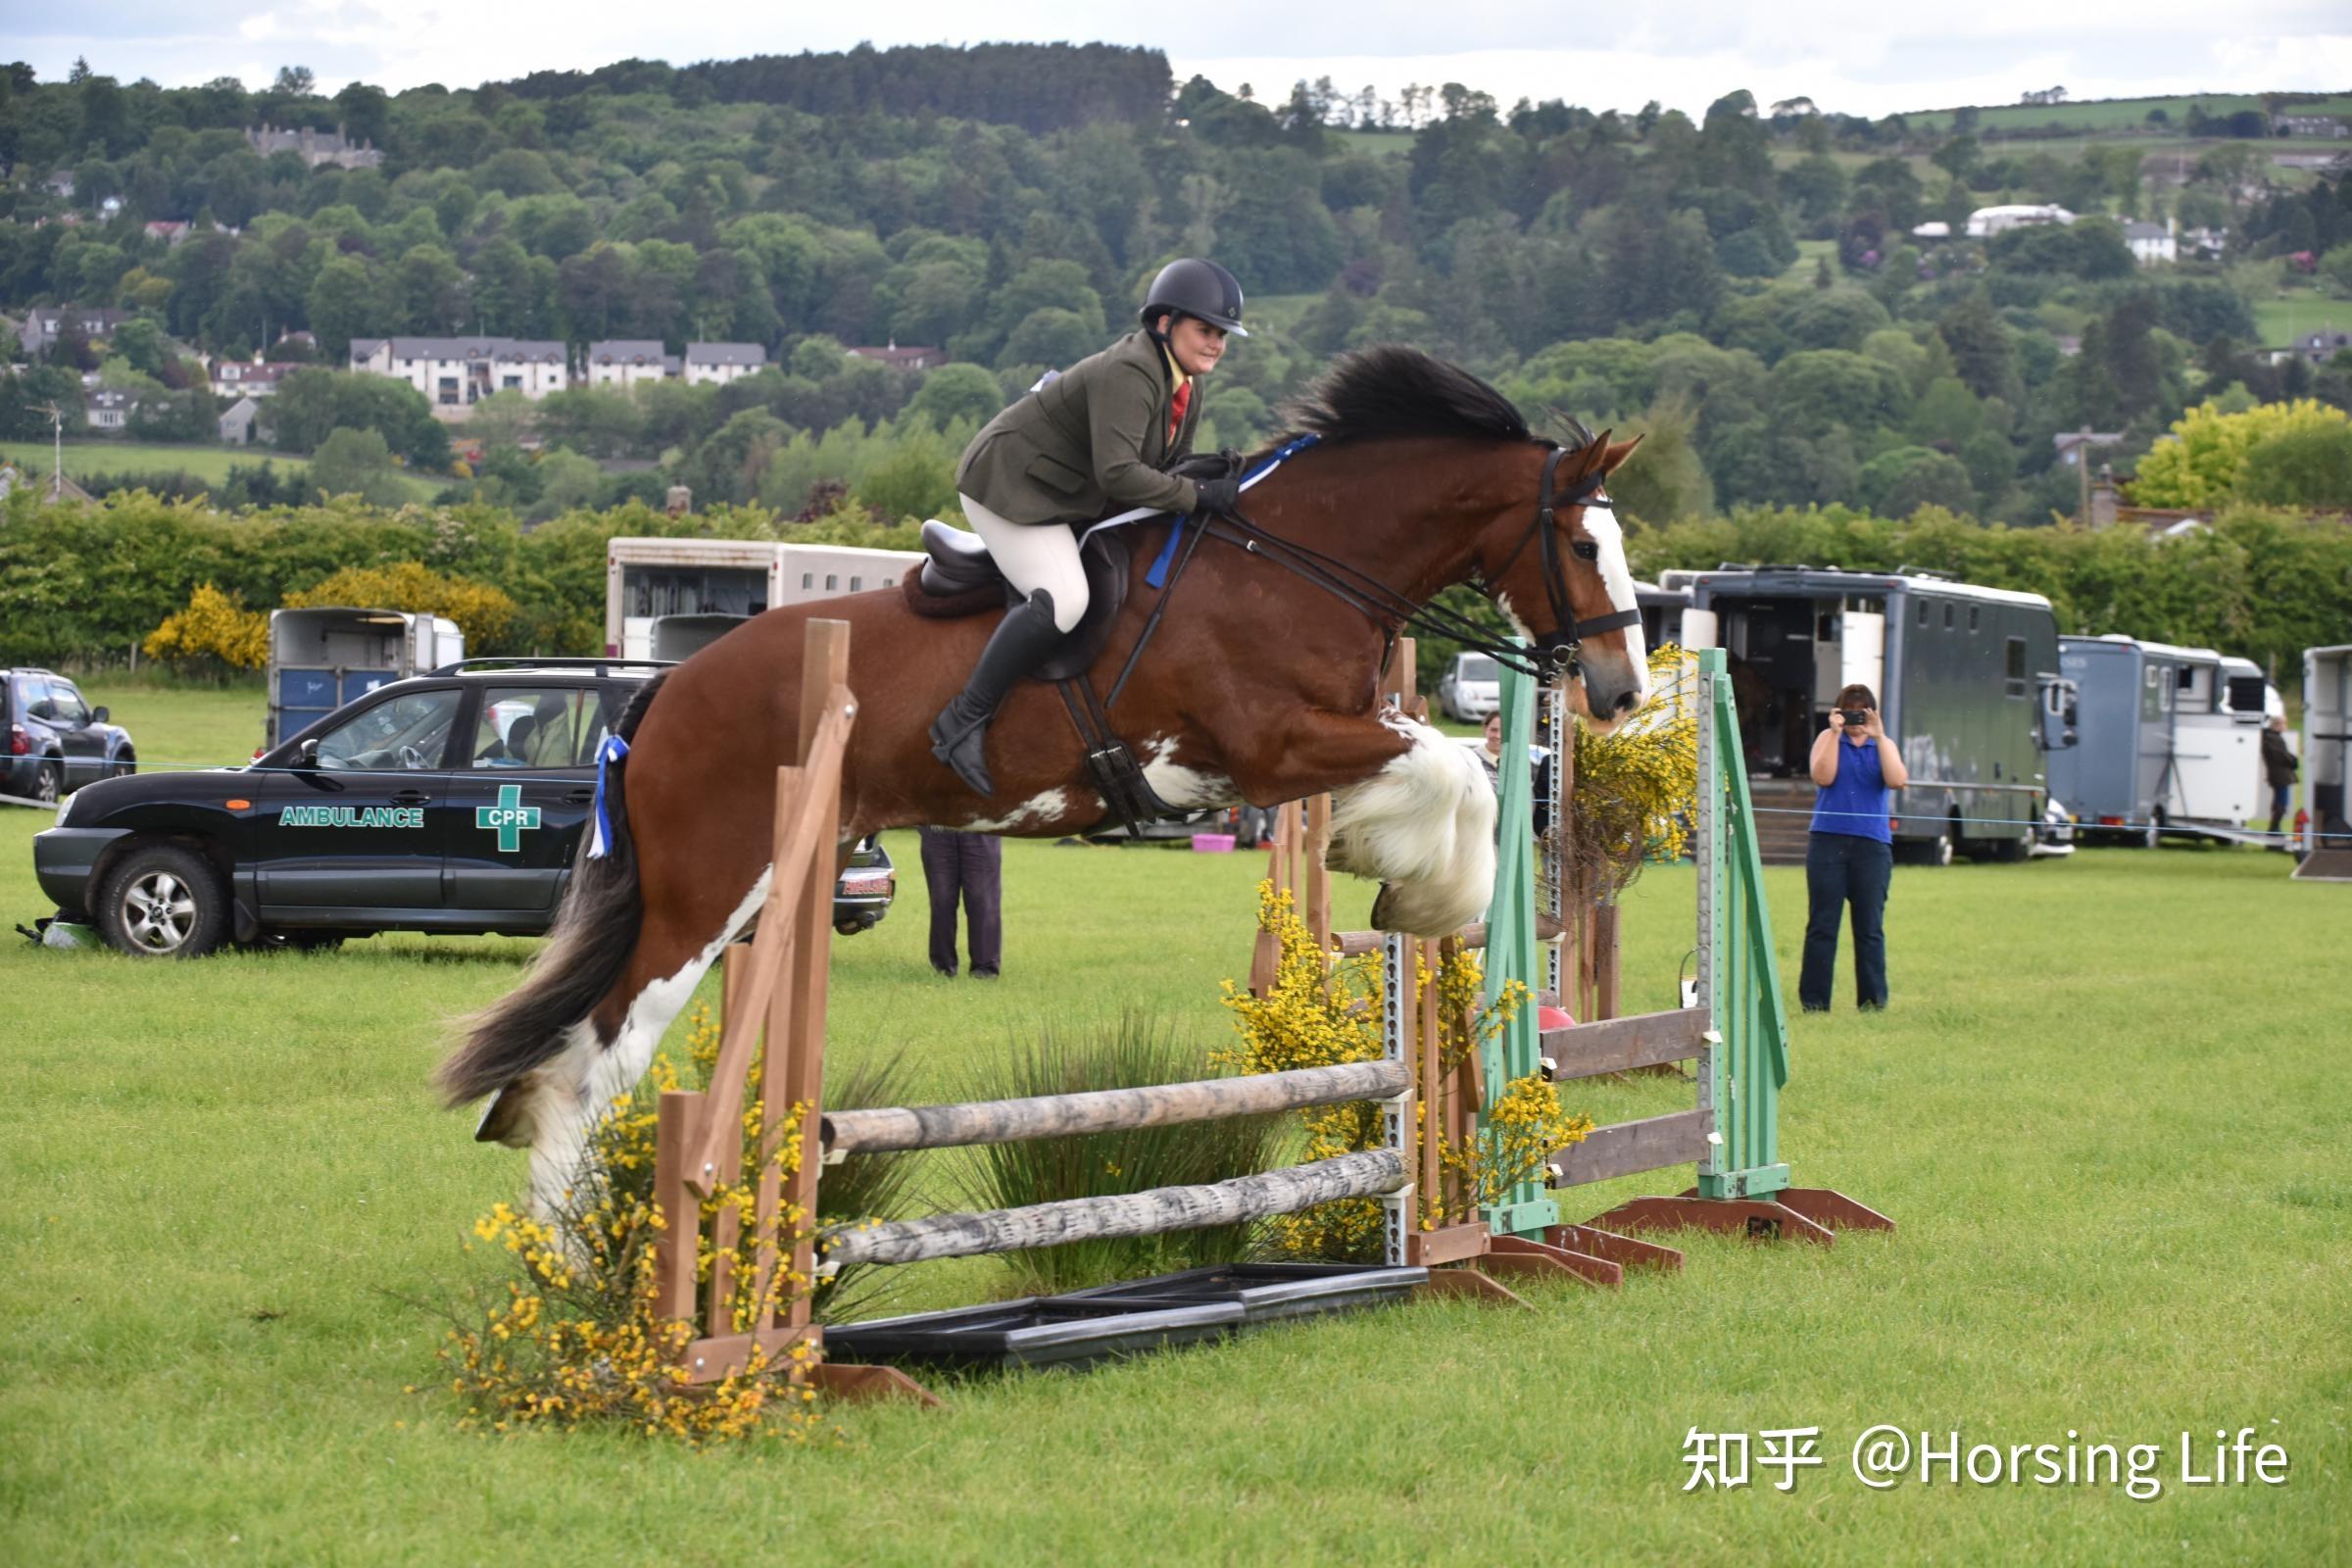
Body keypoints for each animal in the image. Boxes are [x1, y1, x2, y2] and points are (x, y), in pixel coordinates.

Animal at [444, 345, 1655, 1203]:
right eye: (1583, 547)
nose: (1621, 690)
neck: (1297, 560)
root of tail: (664, 692)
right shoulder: (1268, 746)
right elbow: (1455, 766)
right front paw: (1427, 892)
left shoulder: (1321, 739)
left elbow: (1458, 772)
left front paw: (1402, 874)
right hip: (708, 887)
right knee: (601, 1059)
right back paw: (573, 1253)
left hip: (770, 883)